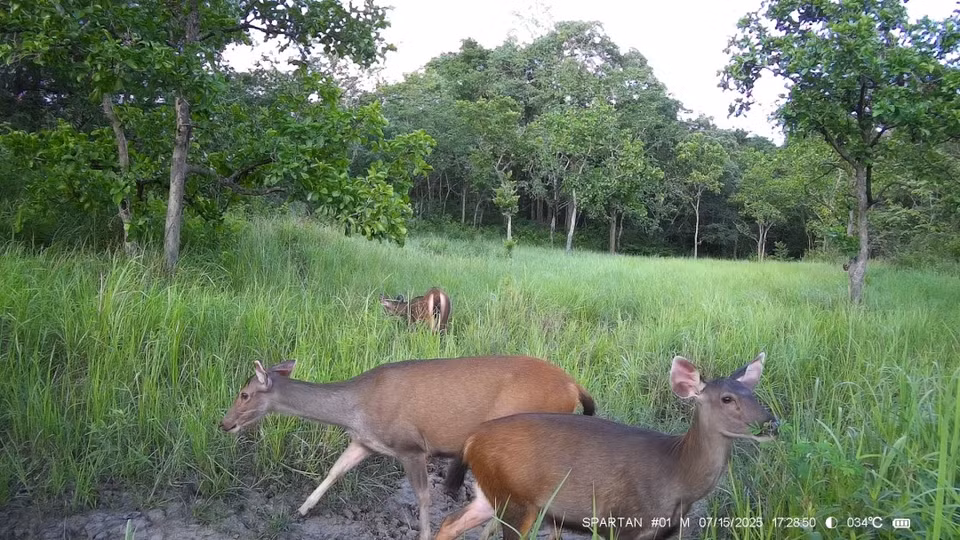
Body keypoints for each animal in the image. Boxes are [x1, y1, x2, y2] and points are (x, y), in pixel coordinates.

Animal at [220, 355, 595, 540]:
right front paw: (302, 509)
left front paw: (424, 535)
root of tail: (576, 387)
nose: (224, 423)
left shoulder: (411, 446)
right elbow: (335, 470)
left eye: (244, 394)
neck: (356, 407)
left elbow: (424, 498)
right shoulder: (366, 441)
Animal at [434, 352, 779, 540]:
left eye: (754, 395)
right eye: (727, 399)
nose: (771, 424)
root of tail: (472, 438)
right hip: (516, 500)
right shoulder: (625, 523)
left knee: (450, 523)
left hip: (493, 493)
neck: (677, 474)